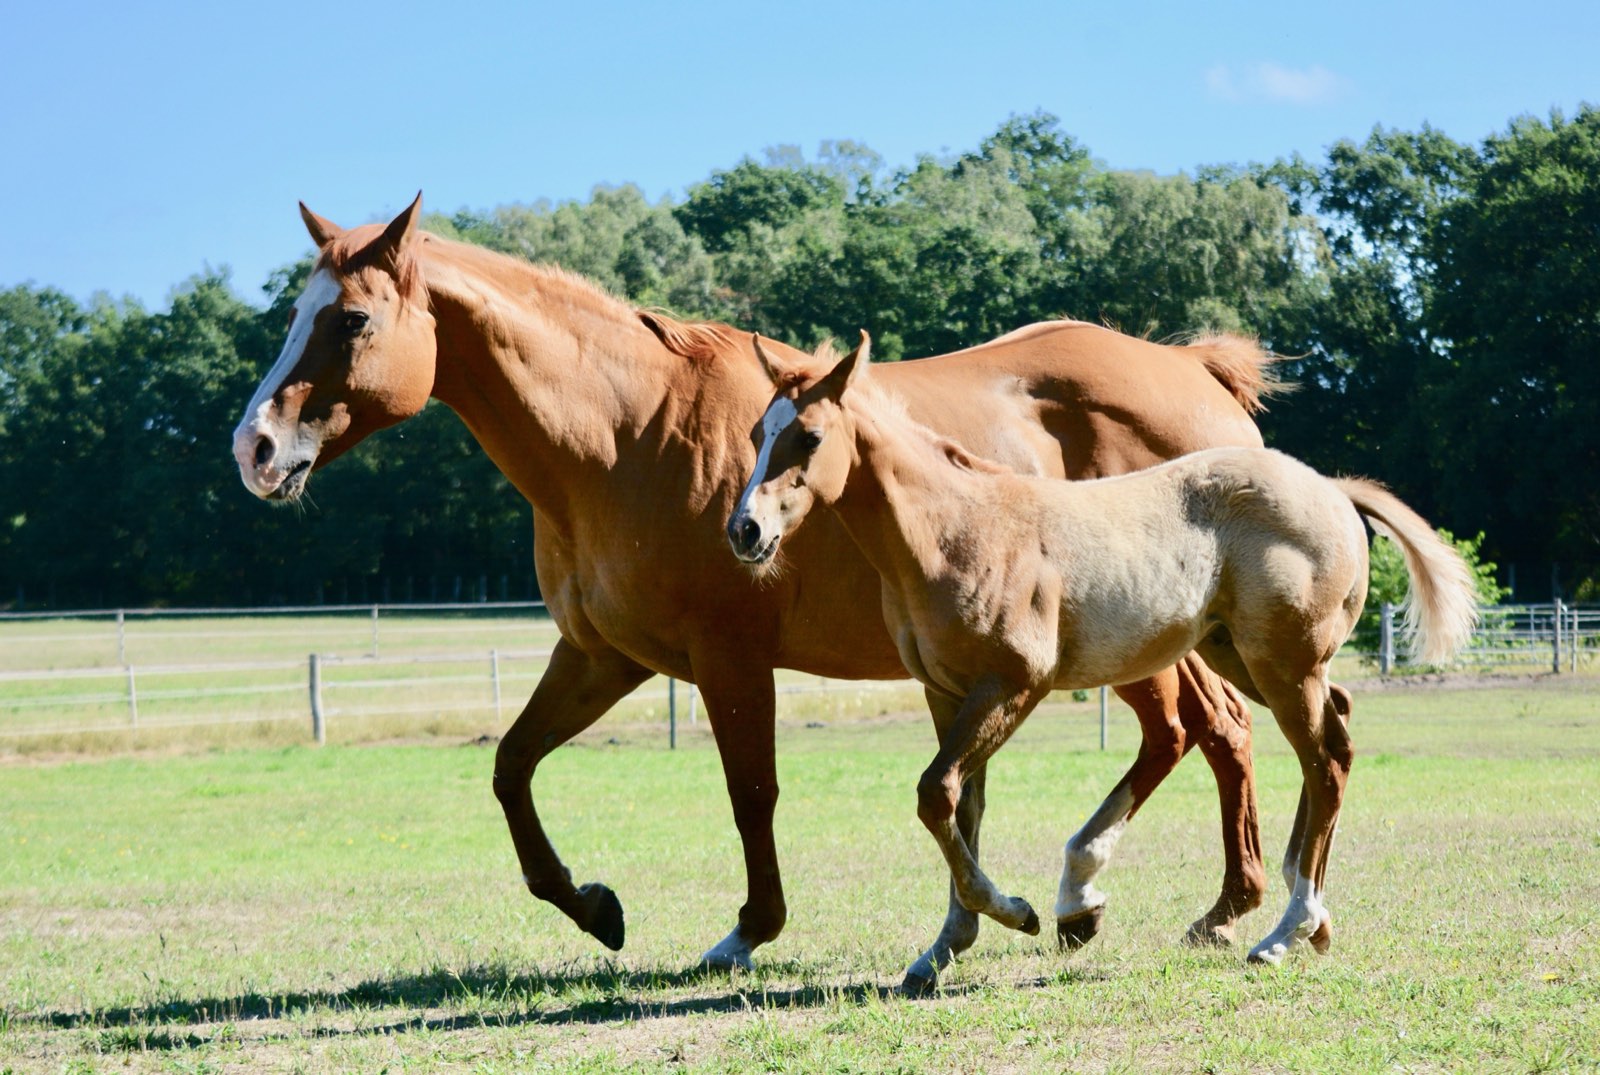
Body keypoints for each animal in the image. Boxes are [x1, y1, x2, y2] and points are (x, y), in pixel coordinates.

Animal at [231, 194, 1282, 975]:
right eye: (292, 317)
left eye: (351, 319)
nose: (255, 448)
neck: (624, 435)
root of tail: (1194, 370)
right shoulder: (603, 656)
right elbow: (511, 767)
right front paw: (595, 907)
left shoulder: (730, 659)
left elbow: (752, 793)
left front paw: (748, 930)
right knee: (1199, 732)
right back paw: (1153, 901)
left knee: (1205, 729)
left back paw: (1166, 902)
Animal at [728, 332, 1479, 984]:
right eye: (757, 435)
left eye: (810, 436)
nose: (744, 531)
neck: (954, 528)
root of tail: (1331, 488)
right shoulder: (948, 693)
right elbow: (963, 810)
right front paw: (943, 947)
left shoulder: (1013, 684)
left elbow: (935, 793)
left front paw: (1018, 914)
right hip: (1246, 657)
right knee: (1332, 736)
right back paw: (1312, 917)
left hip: (1282, 666)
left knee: (1325, 758)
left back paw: (1283, 933)